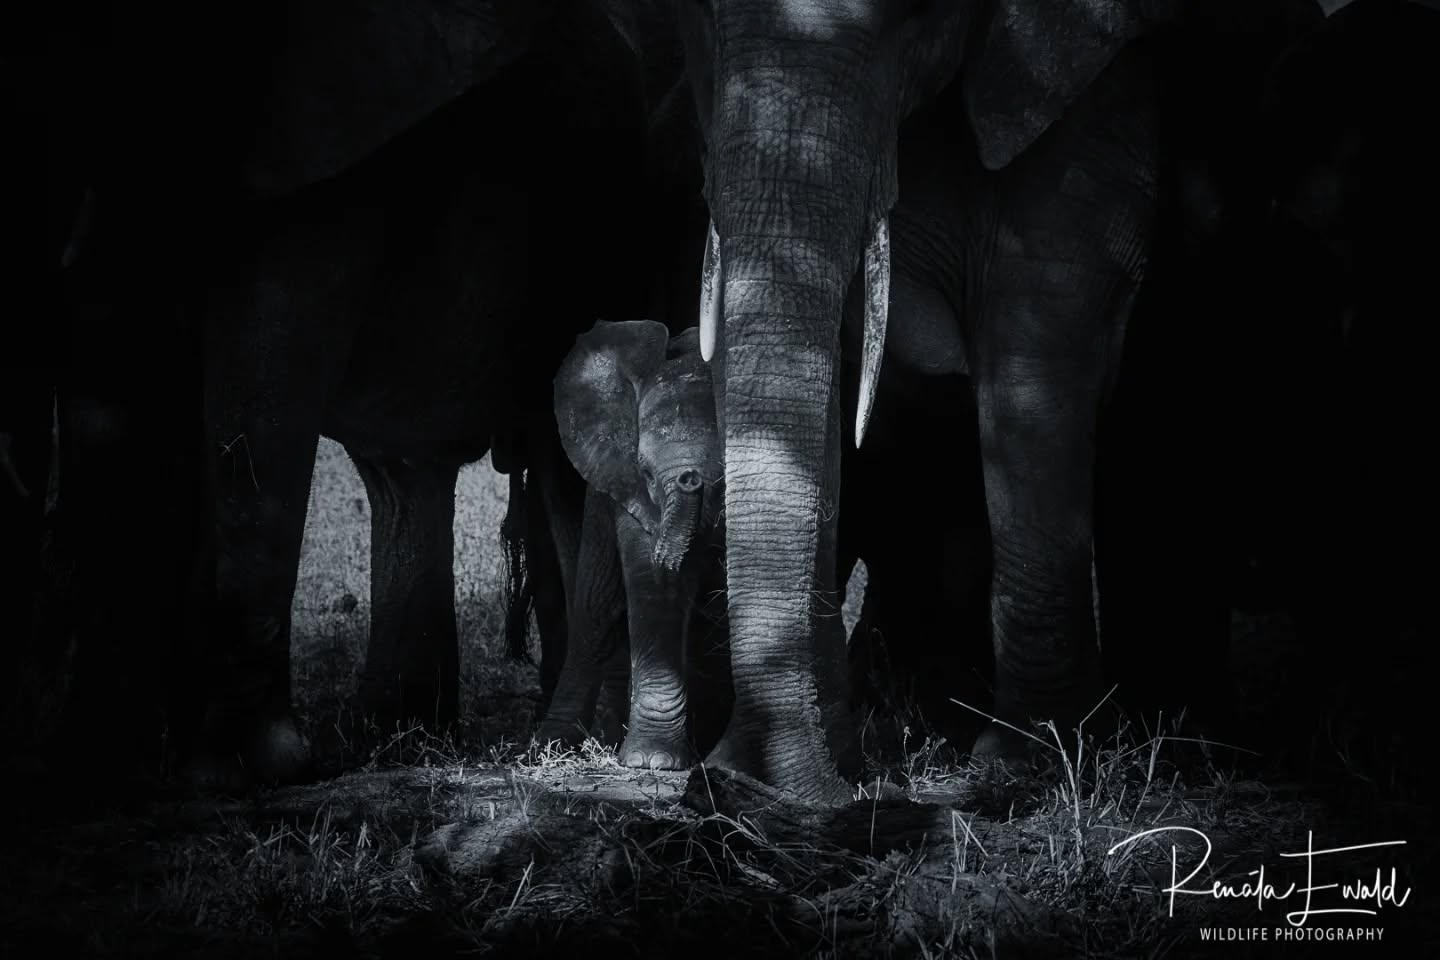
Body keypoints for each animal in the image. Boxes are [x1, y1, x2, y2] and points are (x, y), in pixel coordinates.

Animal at [539, 321, 732, 770]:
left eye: (721, 474)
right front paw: (651, 761)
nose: (688, 480)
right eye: (644, 471)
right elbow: (648, 581)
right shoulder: (626, 488)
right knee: (595, 612)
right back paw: (553, 748)